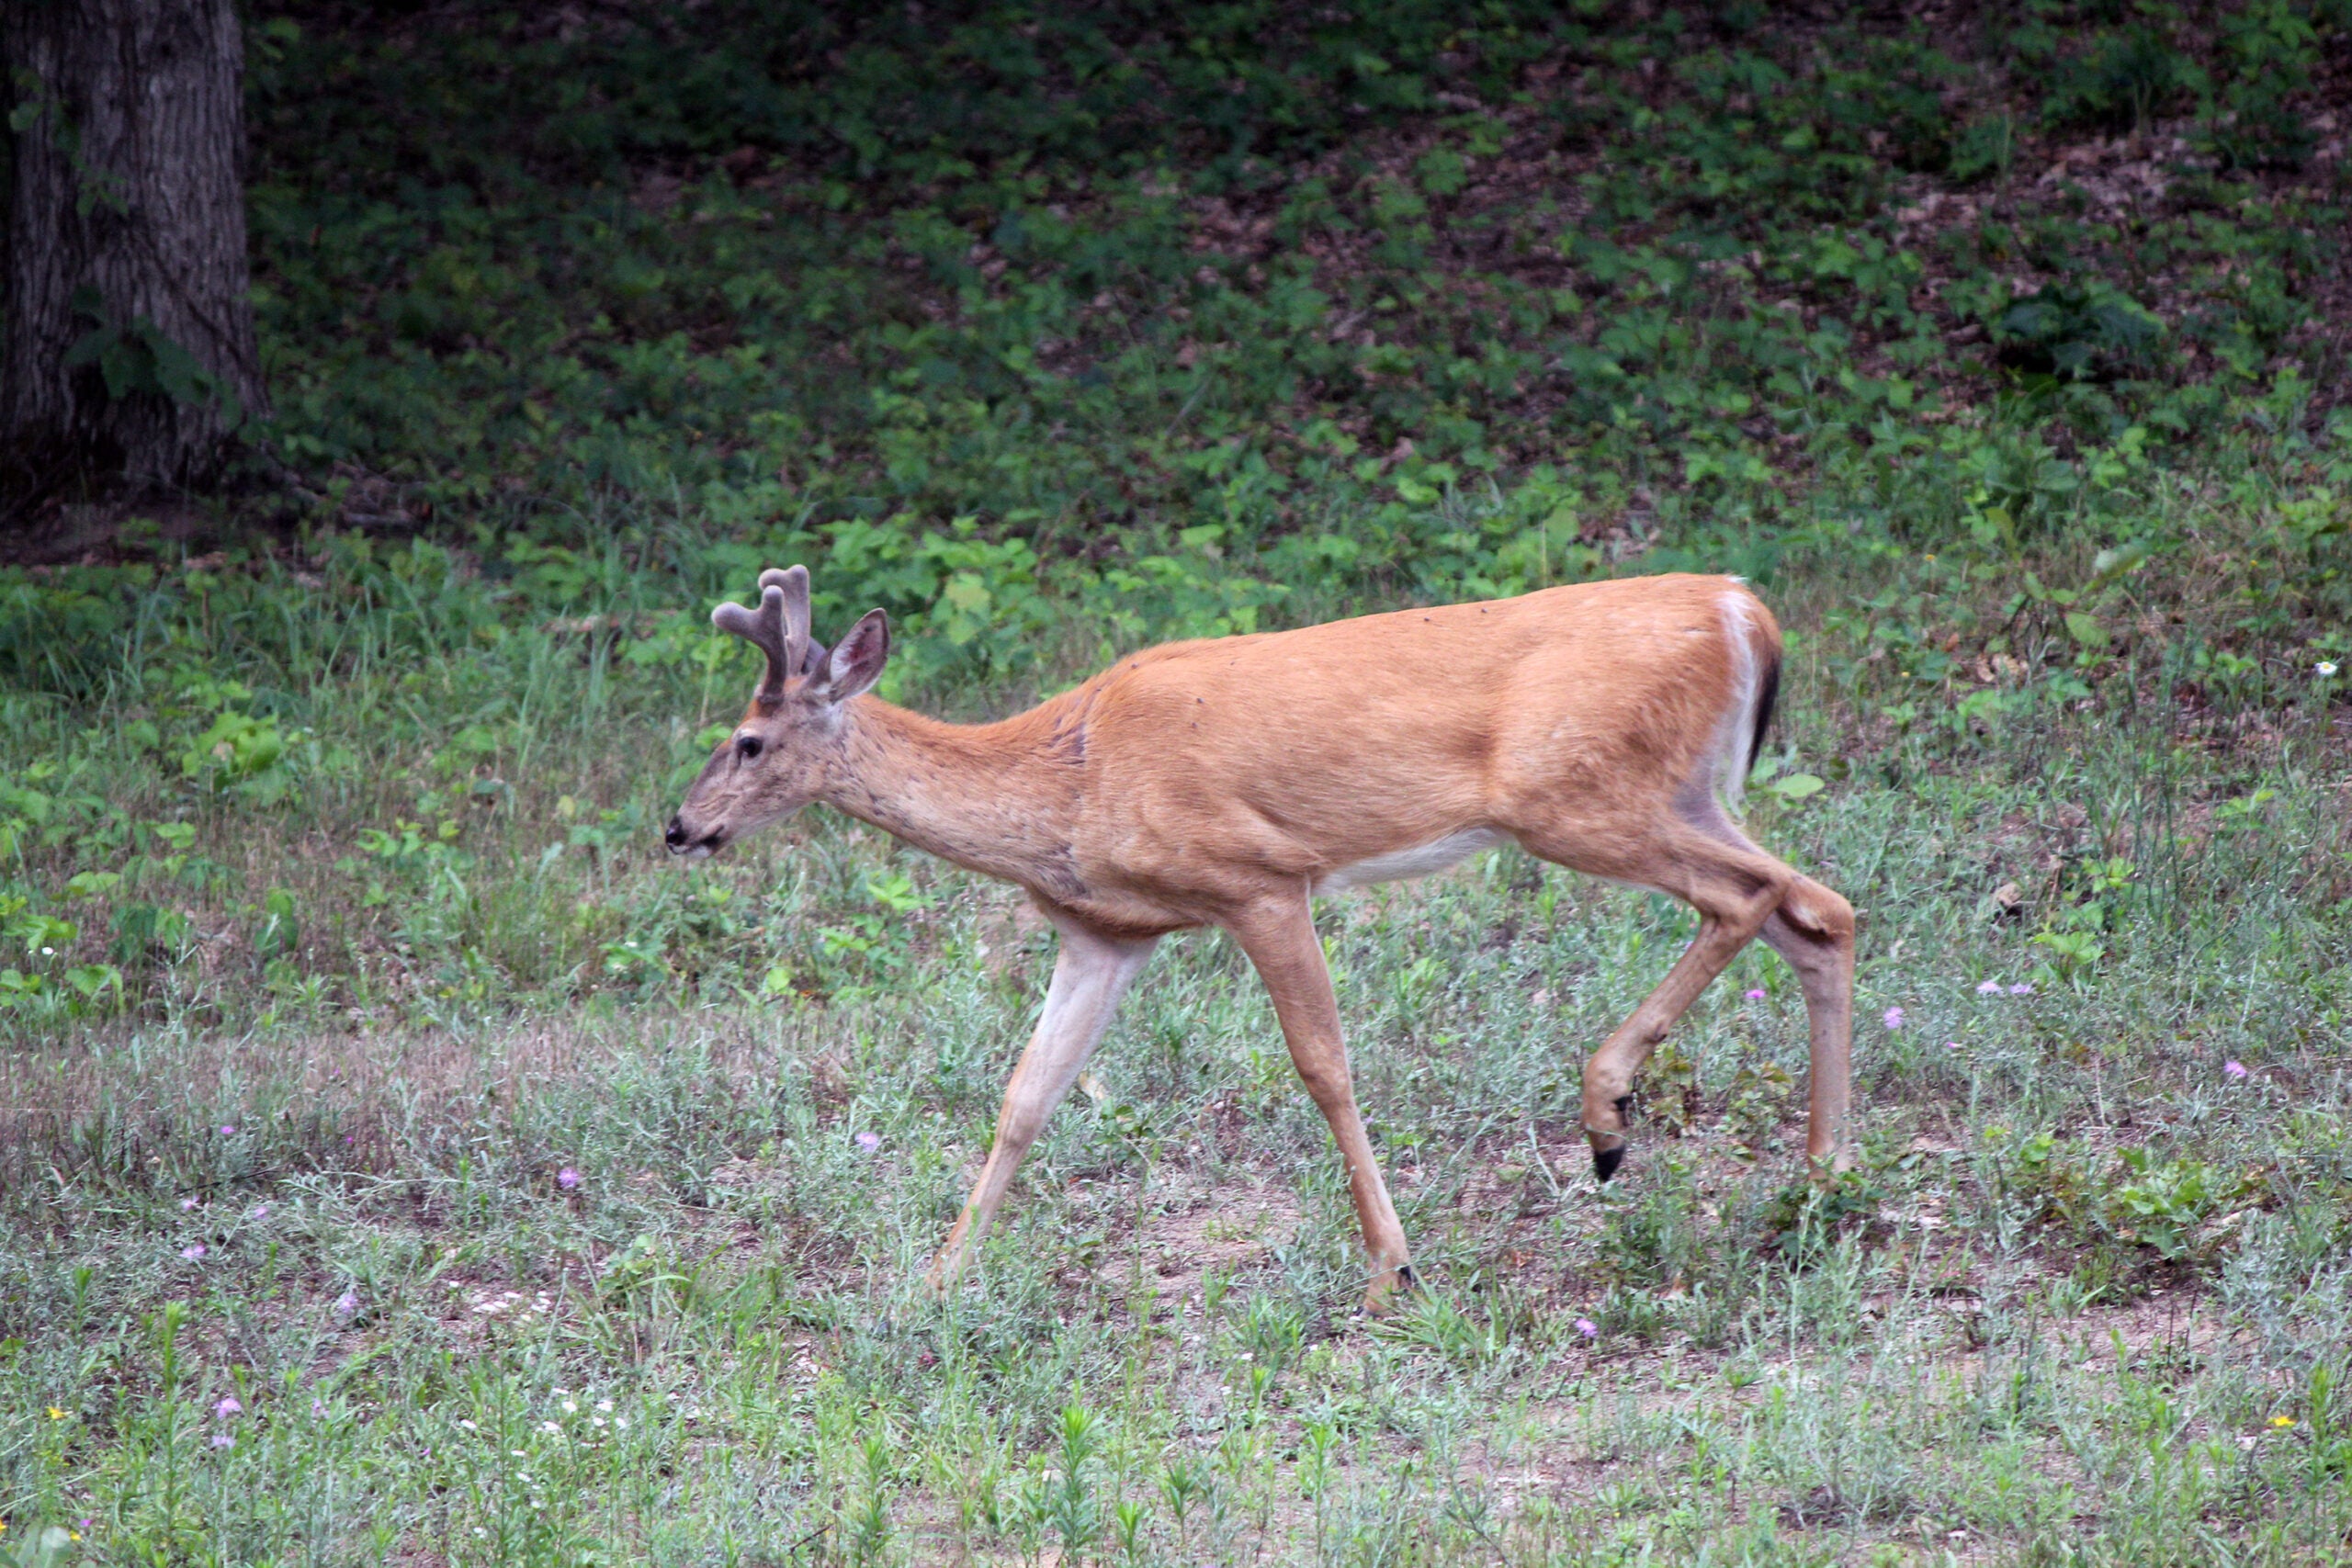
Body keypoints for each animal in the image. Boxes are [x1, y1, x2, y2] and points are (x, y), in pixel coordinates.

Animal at [665, 565, 1854, 1312]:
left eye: (748, 739)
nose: (679, 827)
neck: (1066, 780)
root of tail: (1743, 609)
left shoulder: (1260, 879)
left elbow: (1323, 1066)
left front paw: (1390, 1269)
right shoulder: (1107, 934)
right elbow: (1025, 1098)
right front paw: (935, 1284)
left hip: (1578, 798)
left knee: (1752, 897)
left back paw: (1611, 1114)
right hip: (1675, 794)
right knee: (1819, 910)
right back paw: (1821, 1177)